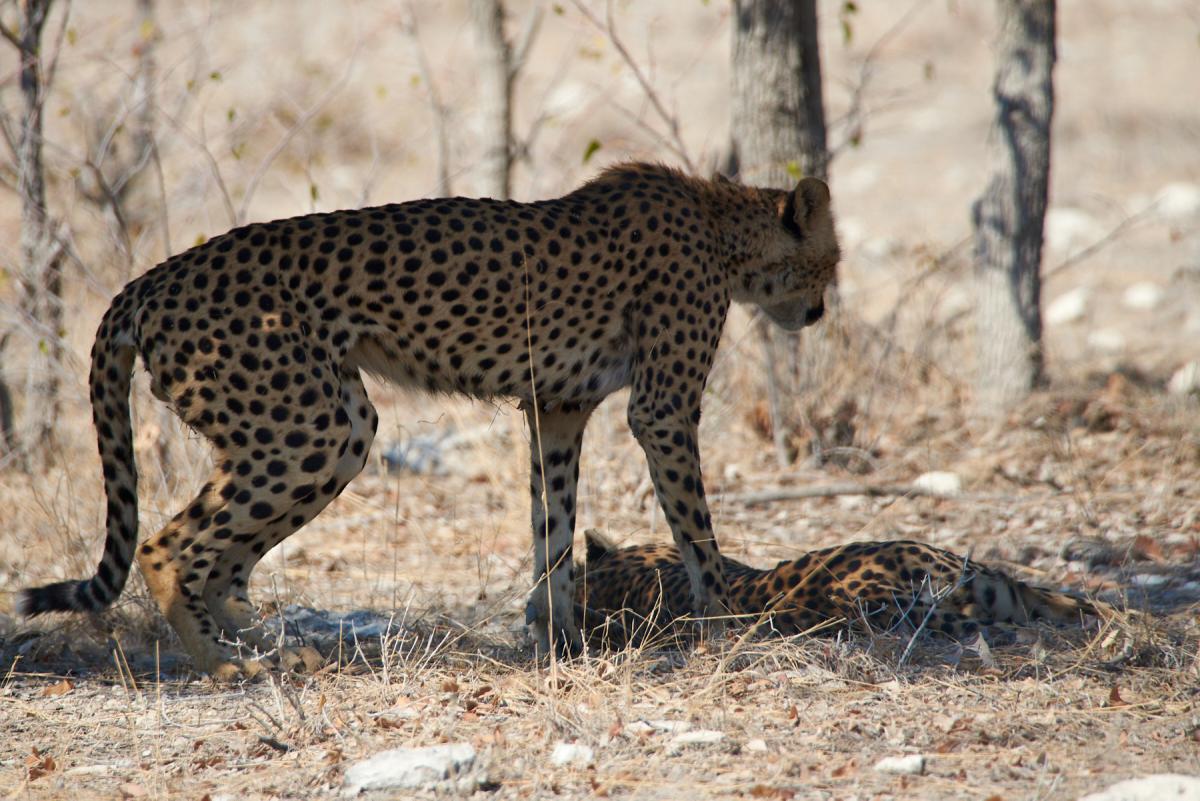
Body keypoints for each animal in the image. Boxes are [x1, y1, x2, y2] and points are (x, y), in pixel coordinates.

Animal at [19, 163, 841, 679]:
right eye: (830, 262)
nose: (820, 312)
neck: (721, 224)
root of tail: (152, 277)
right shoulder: (662, 409)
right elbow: (697, 532)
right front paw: (727, 630)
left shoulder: (557, 407)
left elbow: (553, 529)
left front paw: (557, 640)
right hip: (313, 427)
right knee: (167, 547)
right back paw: (227, 664)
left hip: (327, 426)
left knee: (225, 565)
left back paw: (279, 650)